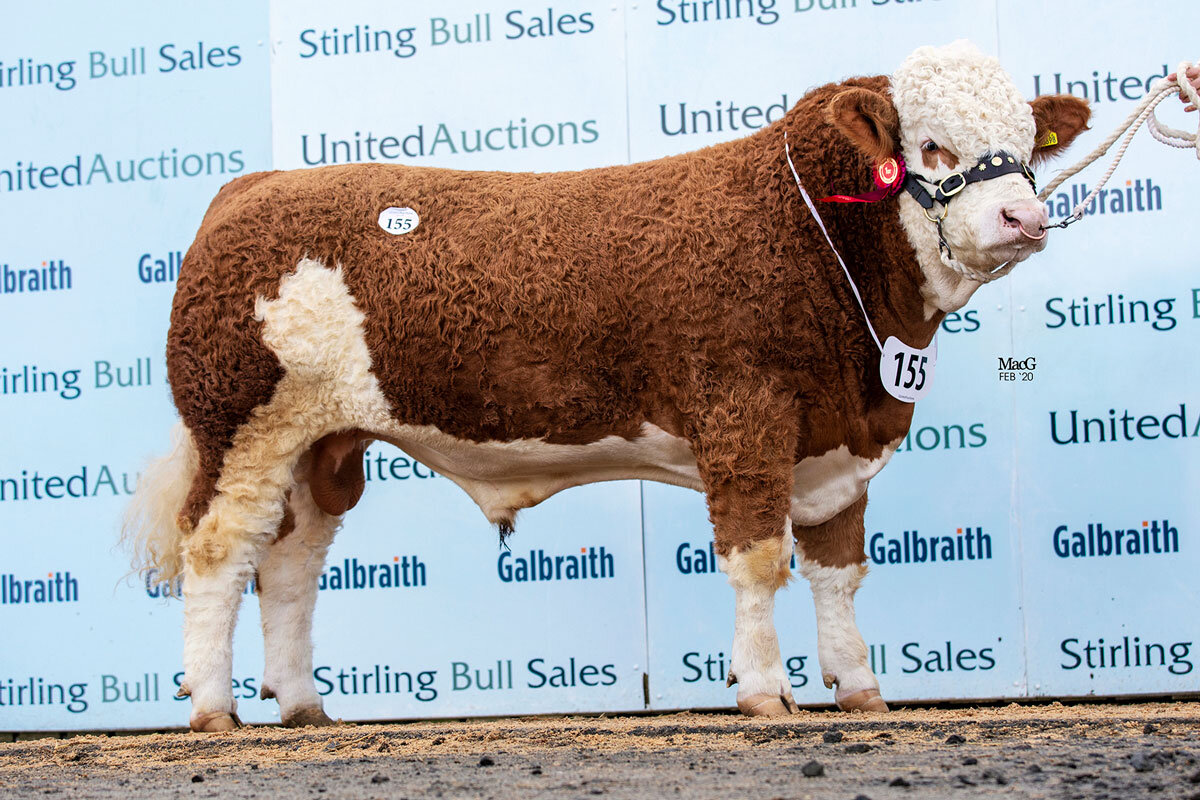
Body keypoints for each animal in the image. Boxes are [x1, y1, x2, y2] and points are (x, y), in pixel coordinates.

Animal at [124, 43, 1089, 734]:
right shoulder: (743, 417)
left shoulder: (837, 438)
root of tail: (256, 186)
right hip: (240, 426)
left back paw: (303, 705)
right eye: (932, 144)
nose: (1025, 217)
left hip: (323, 445)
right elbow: (759, 559)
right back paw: (213, 707)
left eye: (1022, 142)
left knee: (290, 563)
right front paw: (764, 691)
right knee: (217, 551)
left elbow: (838, 571)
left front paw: (858, 686)